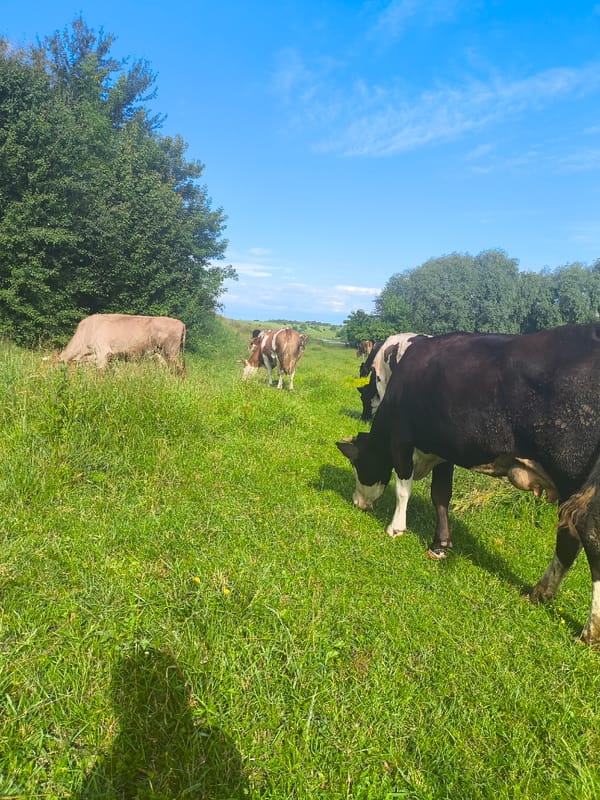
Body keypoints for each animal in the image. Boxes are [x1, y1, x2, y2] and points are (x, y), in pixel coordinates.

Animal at [337, 324, 600, 644]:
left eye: (358, 465)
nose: (357, 502)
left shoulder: (402, 439)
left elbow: (402, 489)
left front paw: (396, 527)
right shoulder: (444, 447)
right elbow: (440, 495)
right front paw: (439, 545)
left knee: (589, 536)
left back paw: (590, 629)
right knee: (569, 537)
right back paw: (539, 592)